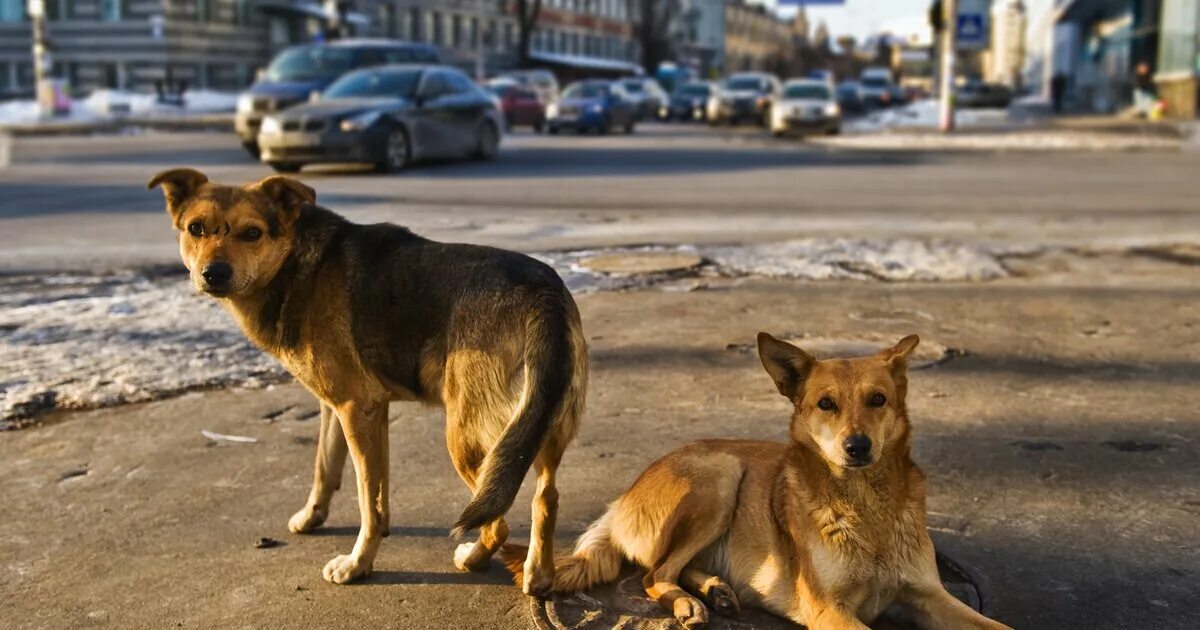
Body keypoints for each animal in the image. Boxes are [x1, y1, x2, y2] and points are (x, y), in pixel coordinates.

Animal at [150, 164, 590, 592]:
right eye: (196, 228)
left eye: (252, 233)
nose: (213, 273)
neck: (297, 264)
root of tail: (543, 294)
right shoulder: (347, 409)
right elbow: (329, 469)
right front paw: (312, 516)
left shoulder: (355, 409)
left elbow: (368, 502)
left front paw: (357, 564)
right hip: (536, 430)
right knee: (546, 497)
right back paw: (538, 575)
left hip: (468, 437)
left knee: (496, 520)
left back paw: (474, 559)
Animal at [504, 331, 1012, 624]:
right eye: (826, 404)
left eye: (878, 399)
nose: (858, 447)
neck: (866, 507)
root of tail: (621, 500)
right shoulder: (829, 610)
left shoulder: (930, 596)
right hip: (721, 476)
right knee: (654, 573)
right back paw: (689, 601)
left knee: (675, 566)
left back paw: (716, 589)